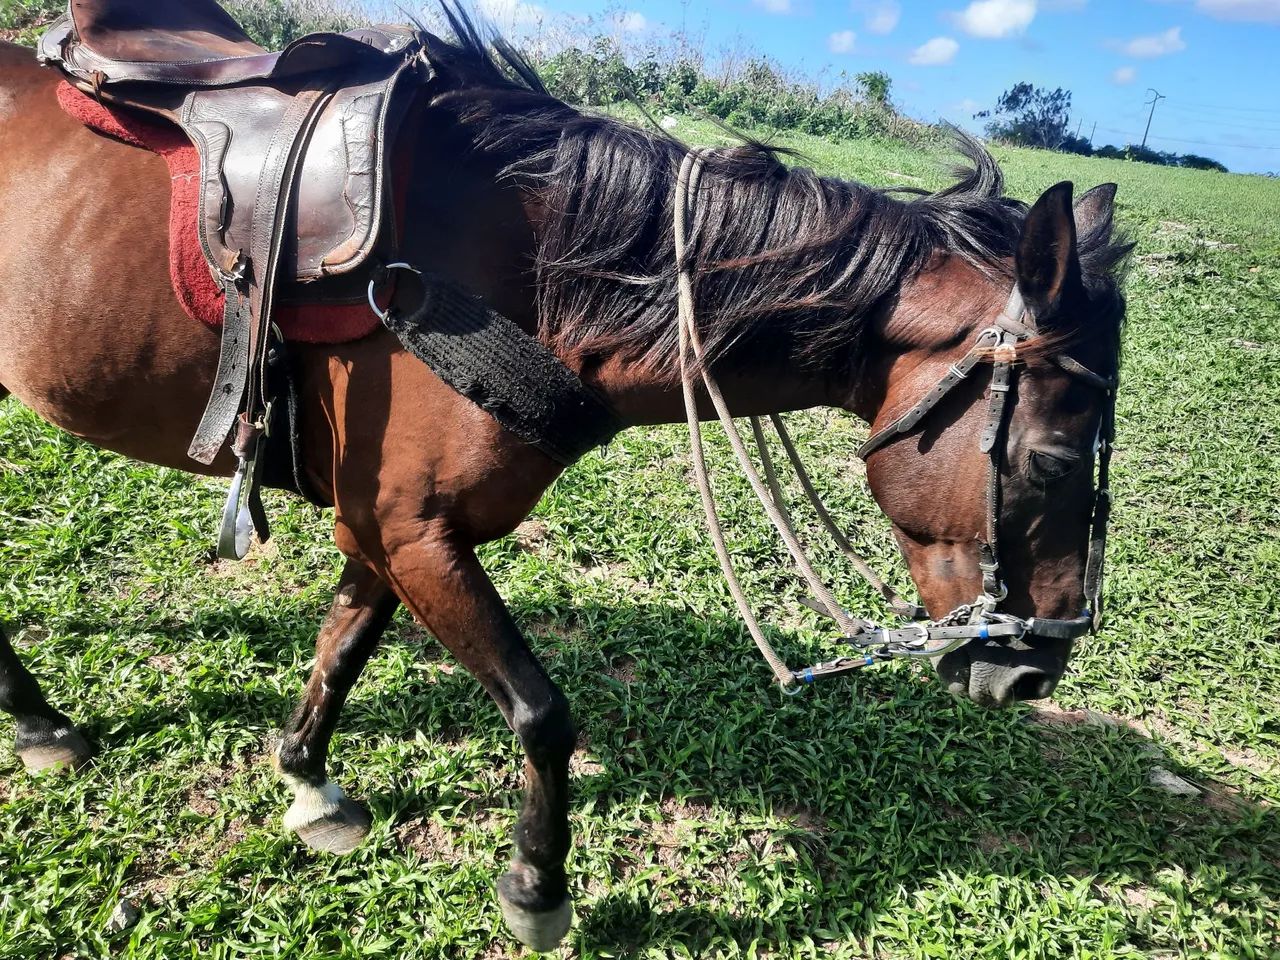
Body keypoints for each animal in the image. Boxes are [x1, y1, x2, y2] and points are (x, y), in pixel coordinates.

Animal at [0, 12, 1129, 951]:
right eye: (1052, 458)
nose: (1032, 671)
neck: (522, 268)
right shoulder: (415, 533)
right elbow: (543, 715)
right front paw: (537, 887)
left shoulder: (387, 530)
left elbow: (339, 651)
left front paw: (307, 782)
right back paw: (40, 722)